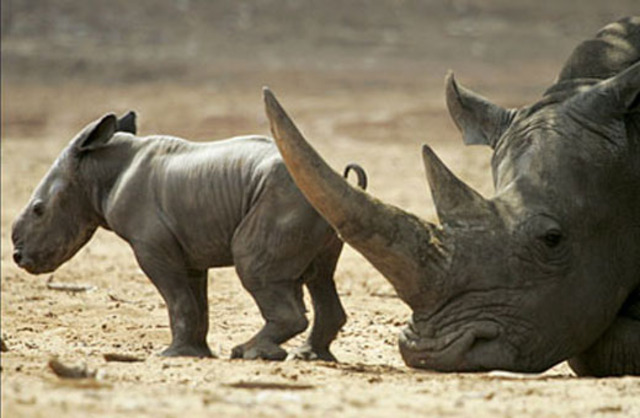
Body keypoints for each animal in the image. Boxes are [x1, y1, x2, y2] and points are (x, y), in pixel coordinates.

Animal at [11, 112, 366, 360]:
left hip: (287, 198)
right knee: (320, 275)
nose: (18, 257)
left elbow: (177, 299)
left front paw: (171, 355)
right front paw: (197, 353)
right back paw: (309, 356)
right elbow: (196, 300)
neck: (97, 170)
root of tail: (341, 178)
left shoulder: (151, 246)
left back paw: (250, 353)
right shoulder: (189, 246)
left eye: (39, 210)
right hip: (316, 200)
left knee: (252, 265)